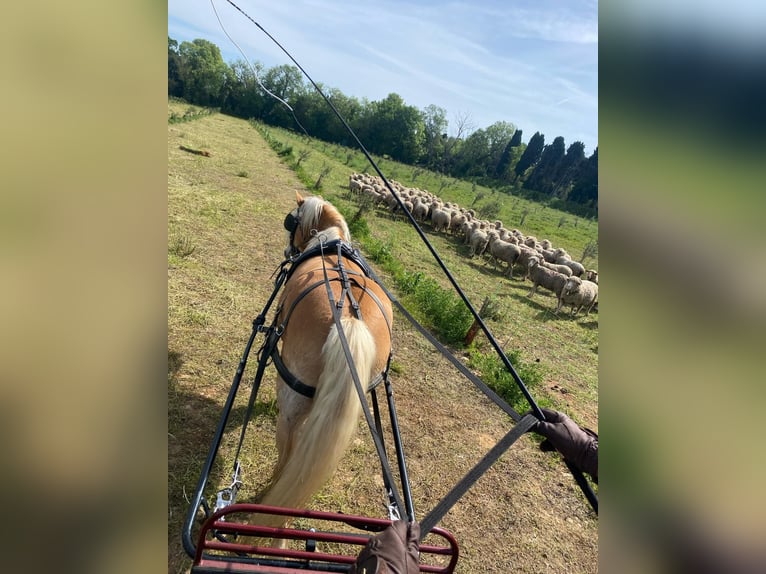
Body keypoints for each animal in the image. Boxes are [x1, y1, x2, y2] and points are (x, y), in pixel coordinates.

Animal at [255, 192, 396, 536]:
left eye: (290, 221)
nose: (287, 252)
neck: (328, 244)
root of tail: (349, 319)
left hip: (291, 402)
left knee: (288, 456)